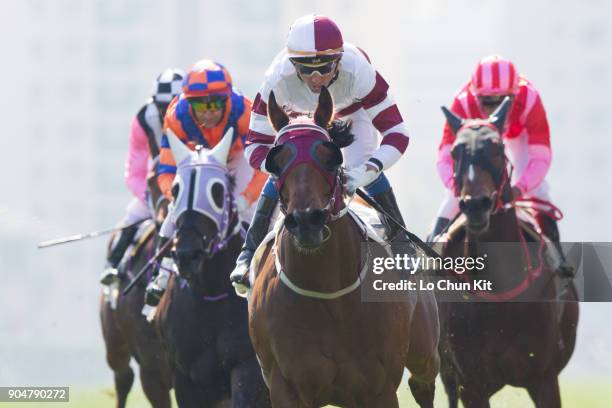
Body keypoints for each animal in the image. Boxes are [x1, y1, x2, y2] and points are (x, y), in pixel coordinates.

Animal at [153, 129, 270, 406]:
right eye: (176, 190)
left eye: (216, 191)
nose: (188, 254)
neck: (212, 295)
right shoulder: (186, 378)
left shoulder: (248, 369)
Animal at [249, 87, 440, 406]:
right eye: (277, 161)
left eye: (330, 157)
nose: (306, 221)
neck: (329, 296)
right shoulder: (285, 386)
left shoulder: (380, 389)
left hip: (424, 353)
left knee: (423, 383)